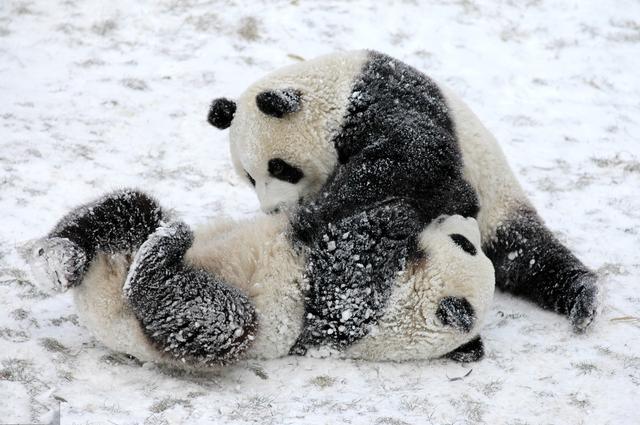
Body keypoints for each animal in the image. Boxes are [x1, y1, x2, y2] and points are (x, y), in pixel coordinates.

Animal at [27, 189, 492, 364]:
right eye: (467, 242)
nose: (467, 219)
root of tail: (99, 306)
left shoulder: (351, 314)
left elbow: (350, 264)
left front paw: (398, 219)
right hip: (125, 237)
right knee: (126, 208)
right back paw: (57, 259)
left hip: (194, 326)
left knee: (215, 319)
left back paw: (160, 253)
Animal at [210, 49, 600, 332]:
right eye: (249, 177)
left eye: (278, 167)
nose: (273, 210)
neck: (334, 93)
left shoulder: (387, 101)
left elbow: (416, 162)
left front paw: (317, 214)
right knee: (522, 259)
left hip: (498, 193)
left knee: (528, 250)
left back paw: (583, 297)